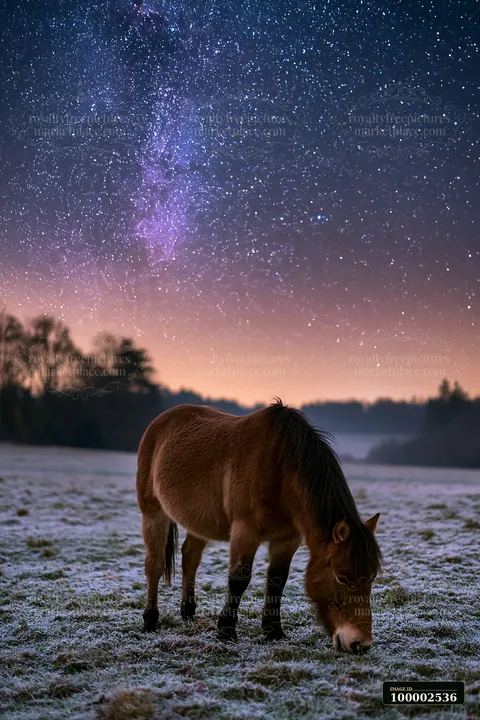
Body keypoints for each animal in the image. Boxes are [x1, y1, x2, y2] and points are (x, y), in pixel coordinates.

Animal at [136, 399, 382, 653]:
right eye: (342, 578)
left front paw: (273, 631)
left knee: (190, 557)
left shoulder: (287, 539)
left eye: (372, 576)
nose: (360, 644)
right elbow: (239, 579)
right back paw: (150, 619)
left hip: (199, 521)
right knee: (154, 564)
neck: (279, 469)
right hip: (153, 512)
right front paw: (226, 630)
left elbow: (277, 581)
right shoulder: (245, 532)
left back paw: (188, 612)